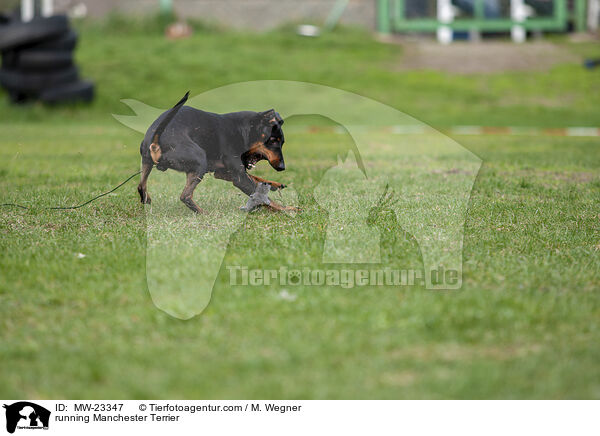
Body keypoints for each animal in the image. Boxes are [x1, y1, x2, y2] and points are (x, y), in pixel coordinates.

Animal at [138, 92, 292, 213]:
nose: (282, 167)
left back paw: (147, 198)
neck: (244, 130)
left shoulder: (224, 173)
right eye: (273, 140)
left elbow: (257, 178)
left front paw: (275, 184)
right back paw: (203, 213)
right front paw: (288, 209)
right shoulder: (239, 178)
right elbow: (265, 198)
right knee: (185, 196)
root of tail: (156, 141)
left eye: (282, 142)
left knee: (141, 186)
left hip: (146, 162)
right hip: (200, 161)